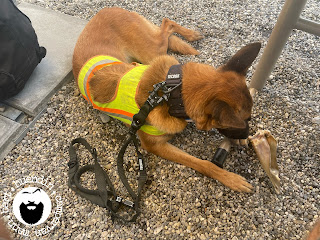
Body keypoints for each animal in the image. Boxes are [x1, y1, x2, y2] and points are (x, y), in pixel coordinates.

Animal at [73, 7, 262, 193]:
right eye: (244, 120)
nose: (246, 135)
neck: (171, 94)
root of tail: (105, 9)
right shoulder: (155, 147)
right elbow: (203, 164)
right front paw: (230, 178)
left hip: (151, 53)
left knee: (166, 24)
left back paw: (190, 35)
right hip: (151, 50)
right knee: (165, 26)